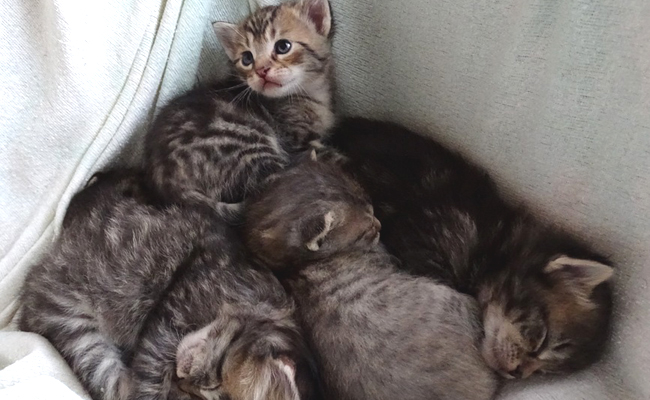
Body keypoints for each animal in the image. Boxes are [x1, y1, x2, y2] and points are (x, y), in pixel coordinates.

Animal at [17, 170, 316, 400]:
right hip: (75, 328)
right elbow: (148, 380)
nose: (181, 376)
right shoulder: (171, 313)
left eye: (203, 394)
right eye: (216, 377)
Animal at [142, 0, 334, 216]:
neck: (308, 93)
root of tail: (165, 181)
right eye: (247, 58)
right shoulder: (295, 139)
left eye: (283, 46)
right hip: (247, 143)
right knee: (274, 182)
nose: (261, 70)